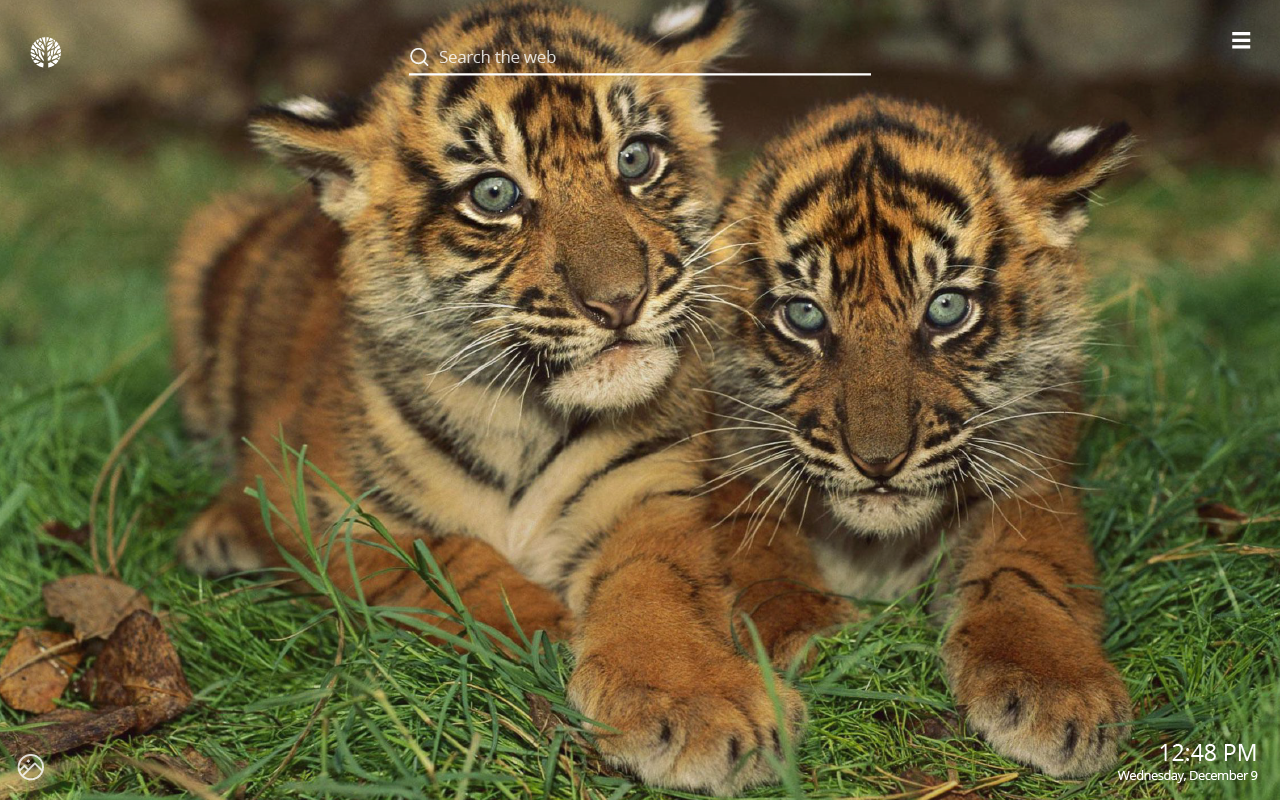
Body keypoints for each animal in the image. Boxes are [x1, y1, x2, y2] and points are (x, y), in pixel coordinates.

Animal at [168, 0, 812, 792]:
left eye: (636, 160)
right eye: (494, 193)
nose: (620, 302)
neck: (522, 415)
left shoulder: (651, 491)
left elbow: (657, 586)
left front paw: (699, 702)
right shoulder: (319, 501)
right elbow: (447, 557)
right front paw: (545, 627)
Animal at [704, 95, 1136, 778]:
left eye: (946, 308)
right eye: (804, 315)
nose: (878, 462)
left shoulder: (1033, 481)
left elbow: (1026, 572)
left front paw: (1058, 688)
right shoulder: (731, 474)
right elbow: (765, 562)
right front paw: (818, 638)